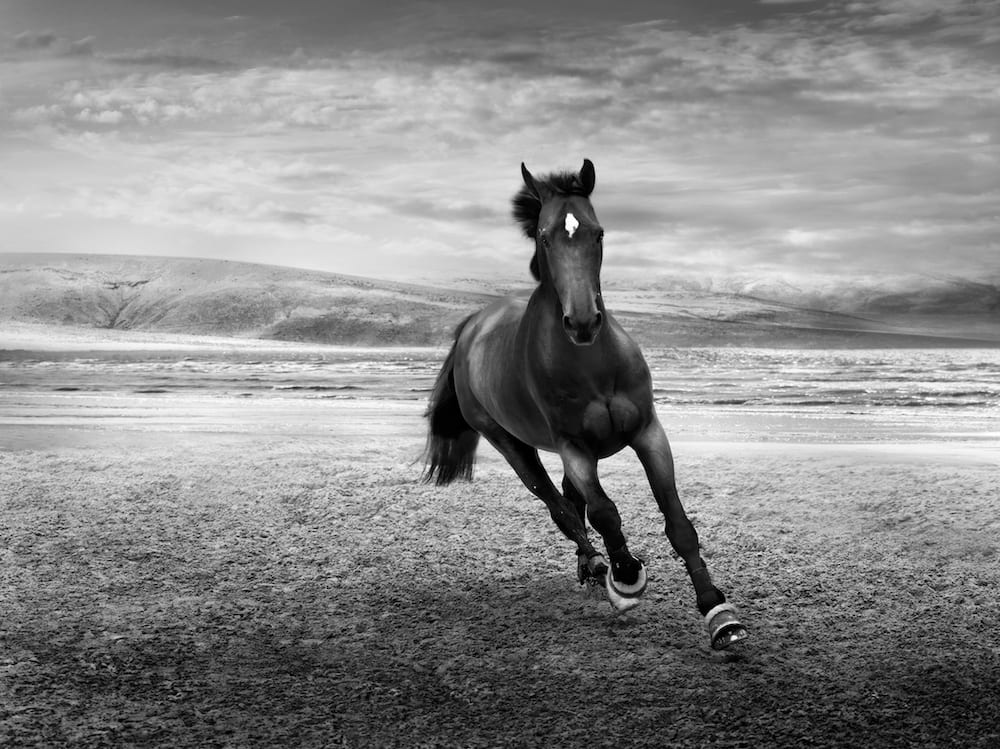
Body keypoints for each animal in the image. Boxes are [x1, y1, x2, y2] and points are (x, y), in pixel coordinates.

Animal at [423, 159, 747, 650]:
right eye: (544, 237)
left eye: (598, 233)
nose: (581, 322)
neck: (592, 363)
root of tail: (473, 326)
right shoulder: (573, 447)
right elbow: (605, 513)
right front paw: (627, 576)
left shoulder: (649, 433)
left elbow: (678, 523)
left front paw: (719, 614)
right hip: (510, 443)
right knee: (558, 505)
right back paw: (597, 565)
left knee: (570, 502)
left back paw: (590, 567)